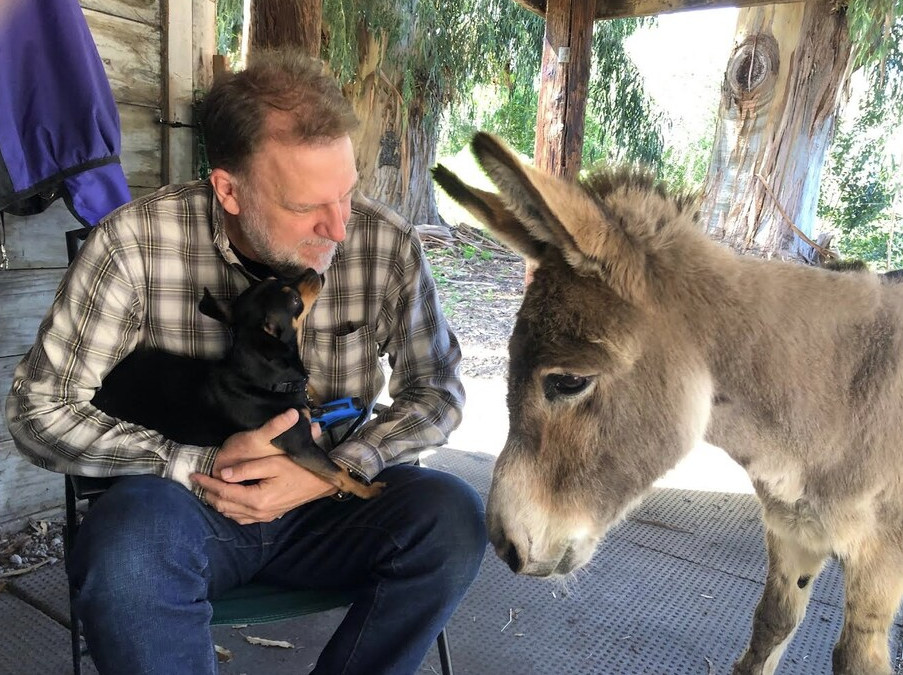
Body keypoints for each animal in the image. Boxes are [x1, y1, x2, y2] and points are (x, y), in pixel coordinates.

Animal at [93, 270, 384, 502]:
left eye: (275, 278)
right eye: (294, 300)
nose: (312, 271)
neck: (267, 379)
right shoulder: (301, 444)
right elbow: (337, 470)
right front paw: (368, 490)